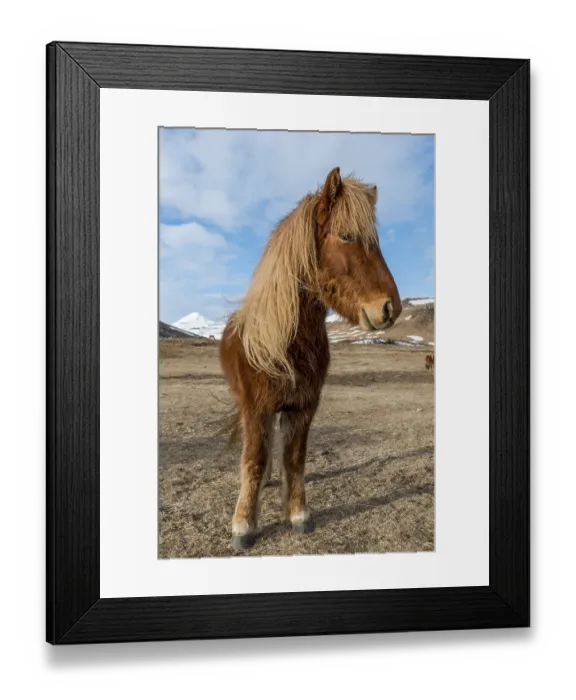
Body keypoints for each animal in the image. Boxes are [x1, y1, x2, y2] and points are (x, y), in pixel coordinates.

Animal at [219, 167, 402, 550]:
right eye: (346, 236)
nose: (390, 308)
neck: (283, 343)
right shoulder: (255, 407)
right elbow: (253, 459)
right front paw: (243, 524)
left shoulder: (303, 407)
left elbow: (294, 459)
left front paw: (298, 513)